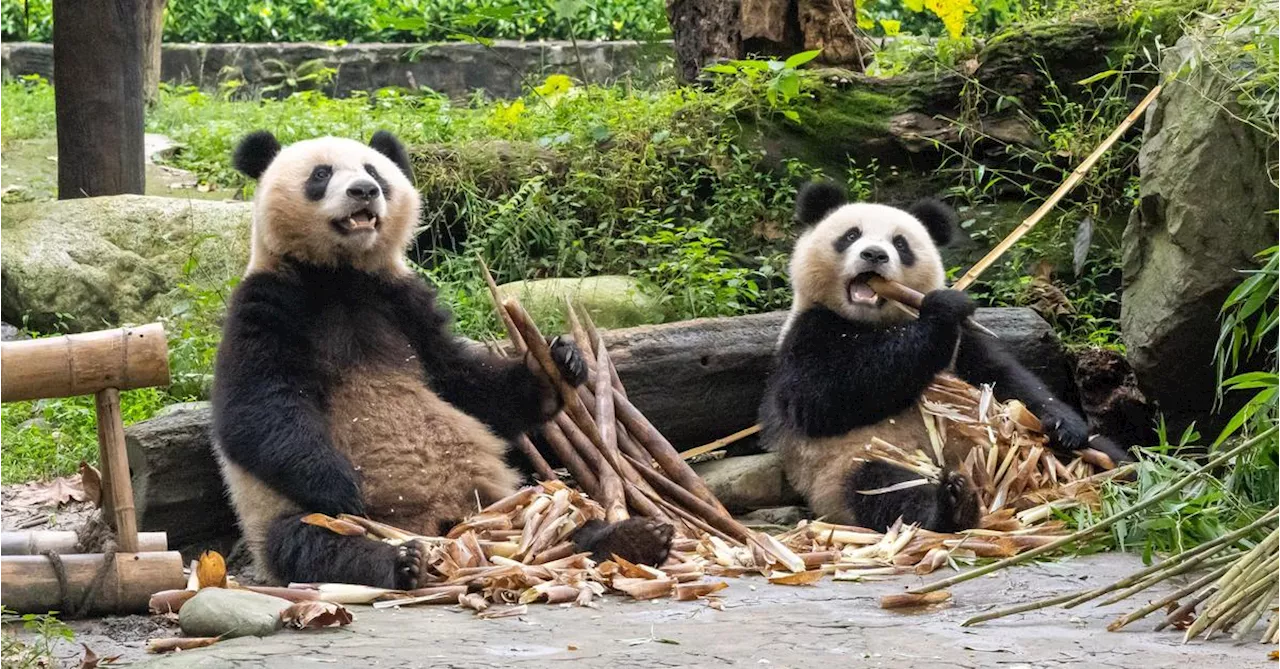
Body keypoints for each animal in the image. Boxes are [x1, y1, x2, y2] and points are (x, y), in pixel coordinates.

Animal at [213, 128, 675, 588]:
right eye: (321, 174)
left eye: (373, 171)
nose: (364, 190)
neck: (339, 275)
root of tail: (442, 527)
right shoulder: (268, 302)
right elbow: (254, 408)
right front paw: (340, 486)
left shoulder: (403, 302)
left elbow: (465, 383)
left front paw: (561, 361)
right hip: (288, 518)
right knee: (312, 543)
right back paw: (401, 561)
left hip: (504, 502)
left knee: (556, 512)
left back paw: (634, 537)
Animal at [757, 181, 1131, 534]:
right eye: (851, 235)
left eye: (901, 244)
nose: (874, 254)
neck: (875, 320)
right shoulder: (809, 331)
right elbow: (823, 397)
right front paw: (942, 310)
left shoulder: (967, 345)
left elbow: (1007, 381)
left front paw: (1064, 424)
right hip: (853, 462)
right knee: (885, 488)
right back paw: (953, 505)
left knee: (1107, 452)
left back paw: (1127, 475)